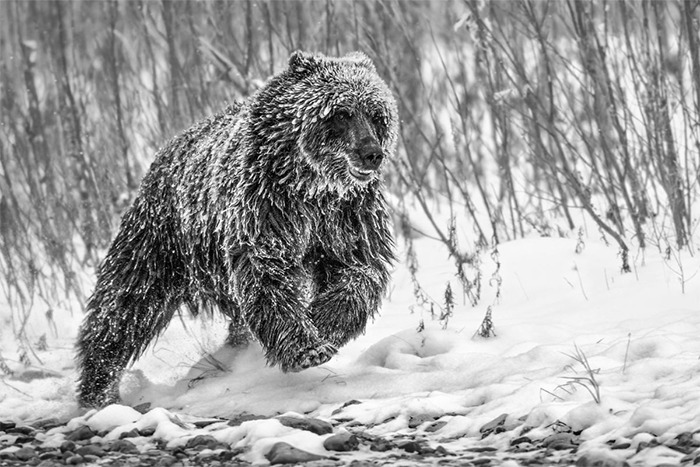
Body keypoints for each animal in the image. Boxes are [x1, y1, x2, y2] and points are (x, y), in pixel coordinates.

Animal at [76, 51, 400, 408]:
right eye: (341, 113)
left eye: (378, 115)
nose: (371, 153)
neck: (312, 185)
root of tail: (166, 149)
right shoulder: (267, 209)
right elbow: (267, 274)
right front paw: (305, 348)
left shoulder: (345, 218)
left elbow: (358, 271)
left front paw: (322, 322)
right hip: (161, 236)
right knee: (126, 303)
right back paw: (99, 388)